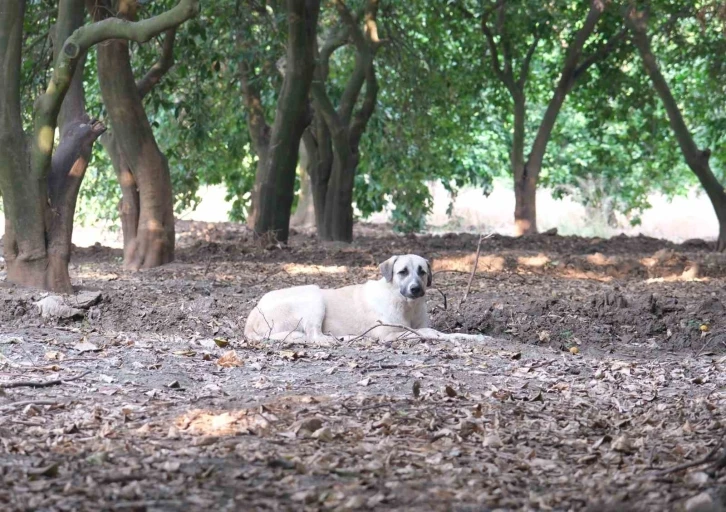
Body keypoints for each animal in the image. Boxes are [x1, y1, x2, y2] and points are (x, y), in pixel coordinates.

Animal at [245, 253, 490, 342]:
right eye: (402, 272)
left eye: (422, 271)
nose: (415, 289)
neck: (406, 305)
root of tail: (252, 317)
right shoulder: (387, 333)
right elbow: (429, 332)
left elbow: (443, 332)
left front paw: (473, 338)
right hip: (314, 295)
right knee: (314, 336)